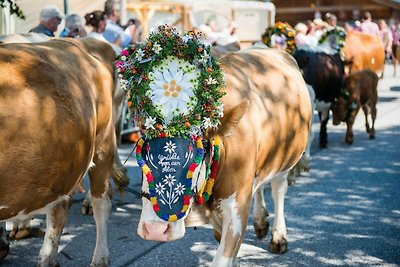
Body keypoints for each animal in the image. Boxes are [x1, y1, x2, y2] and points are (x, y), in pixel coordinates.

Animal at [115, 26, 312, 266]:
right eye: (142, 155)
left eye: (195, 156)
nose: (154, 230)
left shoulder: (237, 206)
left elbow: (222, 258)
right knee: (260, 187)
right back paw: (261, 222)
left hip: (285, 158)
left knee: (278, 189)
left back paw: (278, 236)